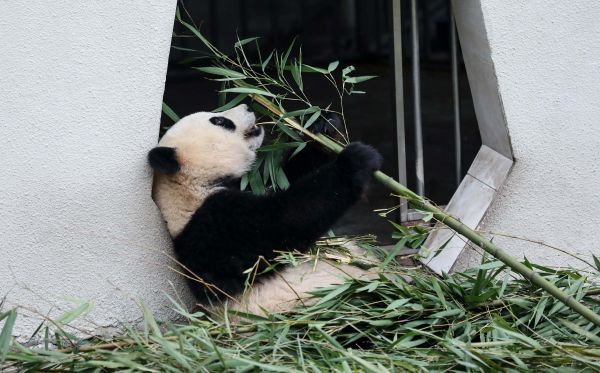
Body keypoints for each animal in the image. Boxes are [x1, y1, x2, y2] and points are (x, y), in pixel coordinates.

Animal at [148, 102, 382, 314]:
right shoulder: (216, 227)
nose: (247, 105)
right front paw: (354, 162)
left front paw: (323, 126)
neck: (192, 186)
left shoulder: (253, 186)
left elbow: (289, 176)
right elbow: (286, 220)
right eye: (220, 121)